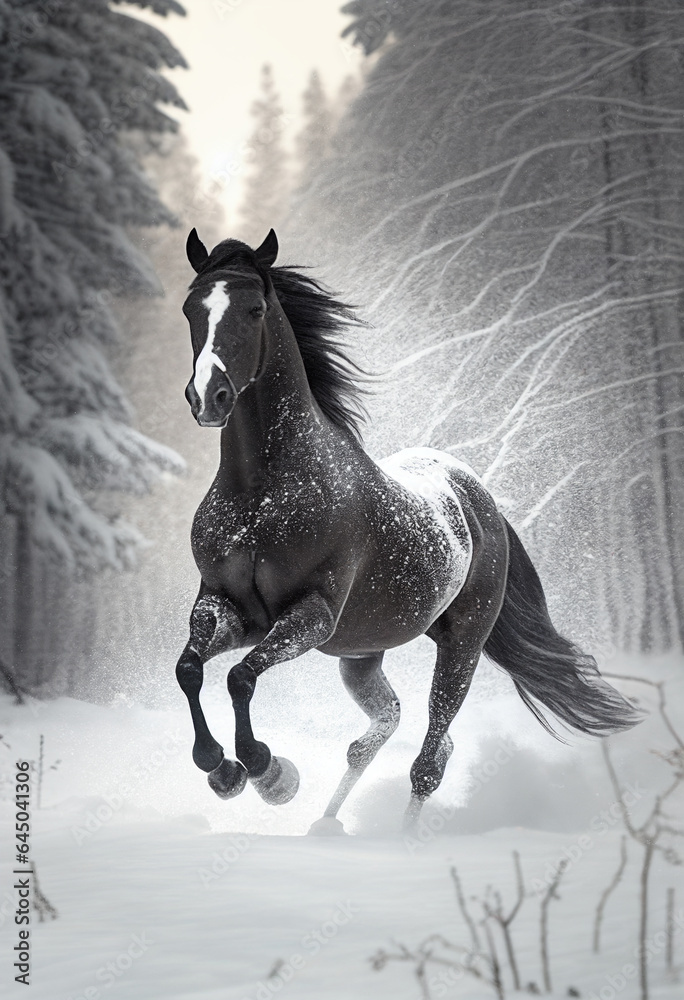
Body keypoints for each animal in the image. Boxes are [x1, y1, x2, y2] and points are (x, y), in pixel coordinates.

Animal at [175, 227, 641, 832]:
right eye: (191, 308)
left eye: (254, 309)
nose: (208, 398)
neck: (263, 492)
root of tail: (479, 500)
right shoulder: (228, 606)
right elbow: (190, 670)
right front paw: (222, 771)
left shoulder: (312, 615)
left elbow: (240, 678)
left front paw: (269, 773)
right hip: (361, 655)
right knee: (383, 729)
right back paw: (326, 827)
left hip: (462, 647)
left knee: (430, 756)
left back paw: (400, 839)